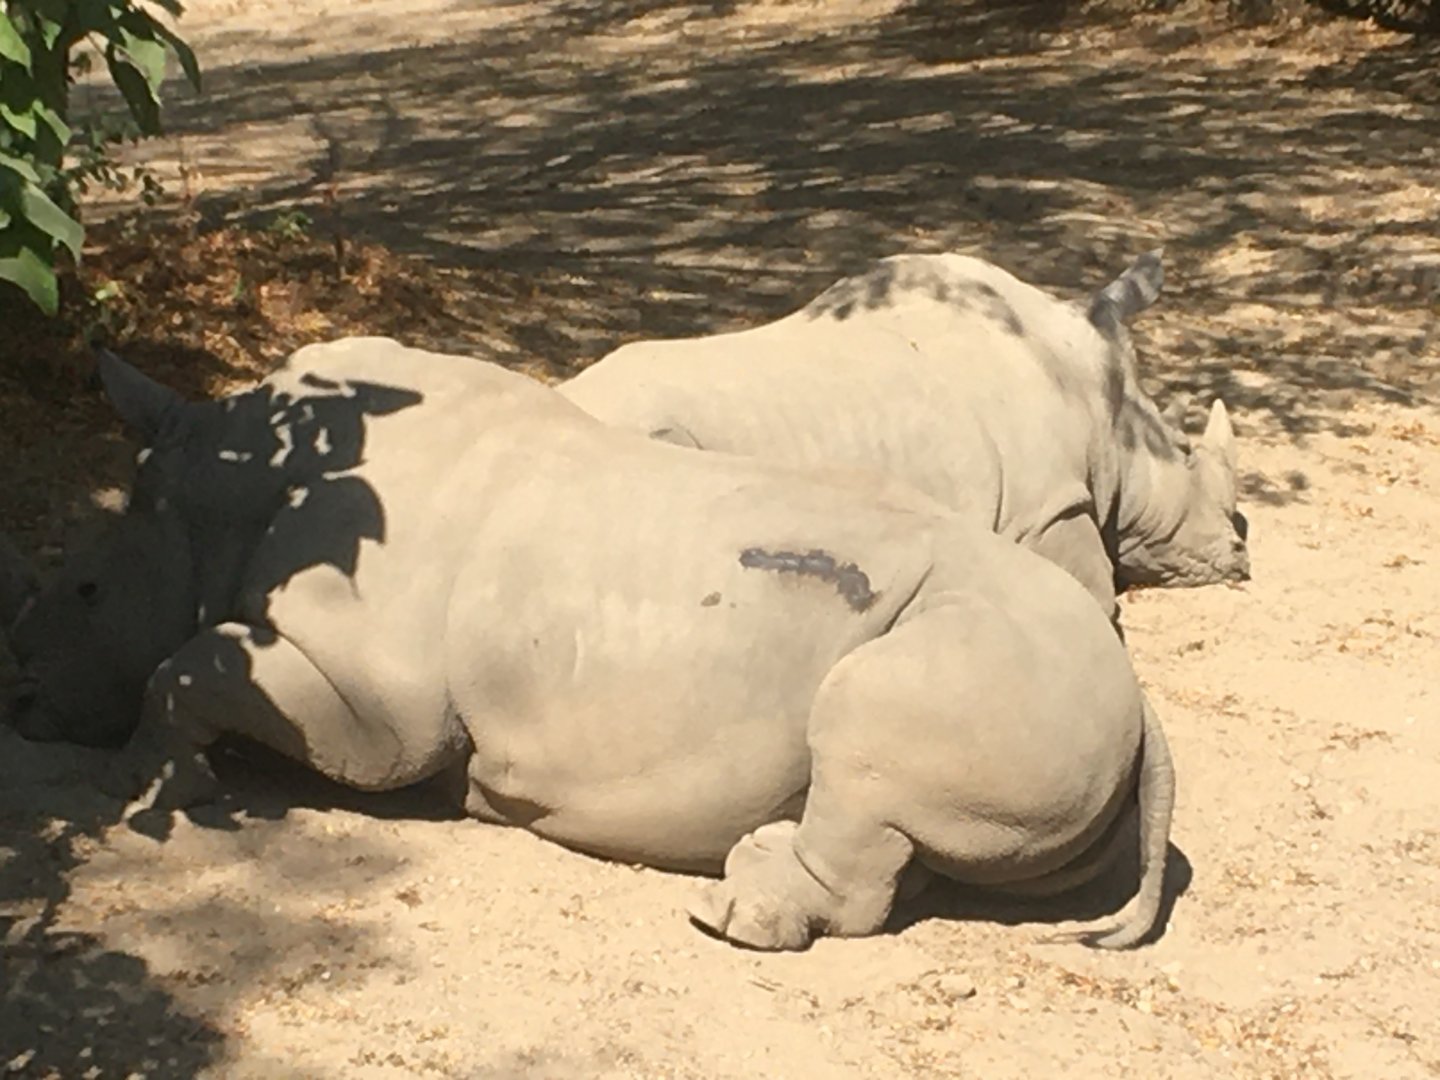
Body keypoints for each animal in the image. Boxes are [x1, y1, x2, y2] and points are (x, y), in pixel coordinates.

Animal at [4, 338, 1175, 951]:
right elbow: (198, 662)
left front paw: (142, 790)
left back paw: (728, 913)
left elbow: (186, 667)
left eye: (87, 589)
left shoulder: (380, 709)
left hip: (999, 662)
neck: (226, 492)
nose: (22, 696)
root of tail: (1143, 708)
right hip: (1043, 680)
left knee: (868, 734)